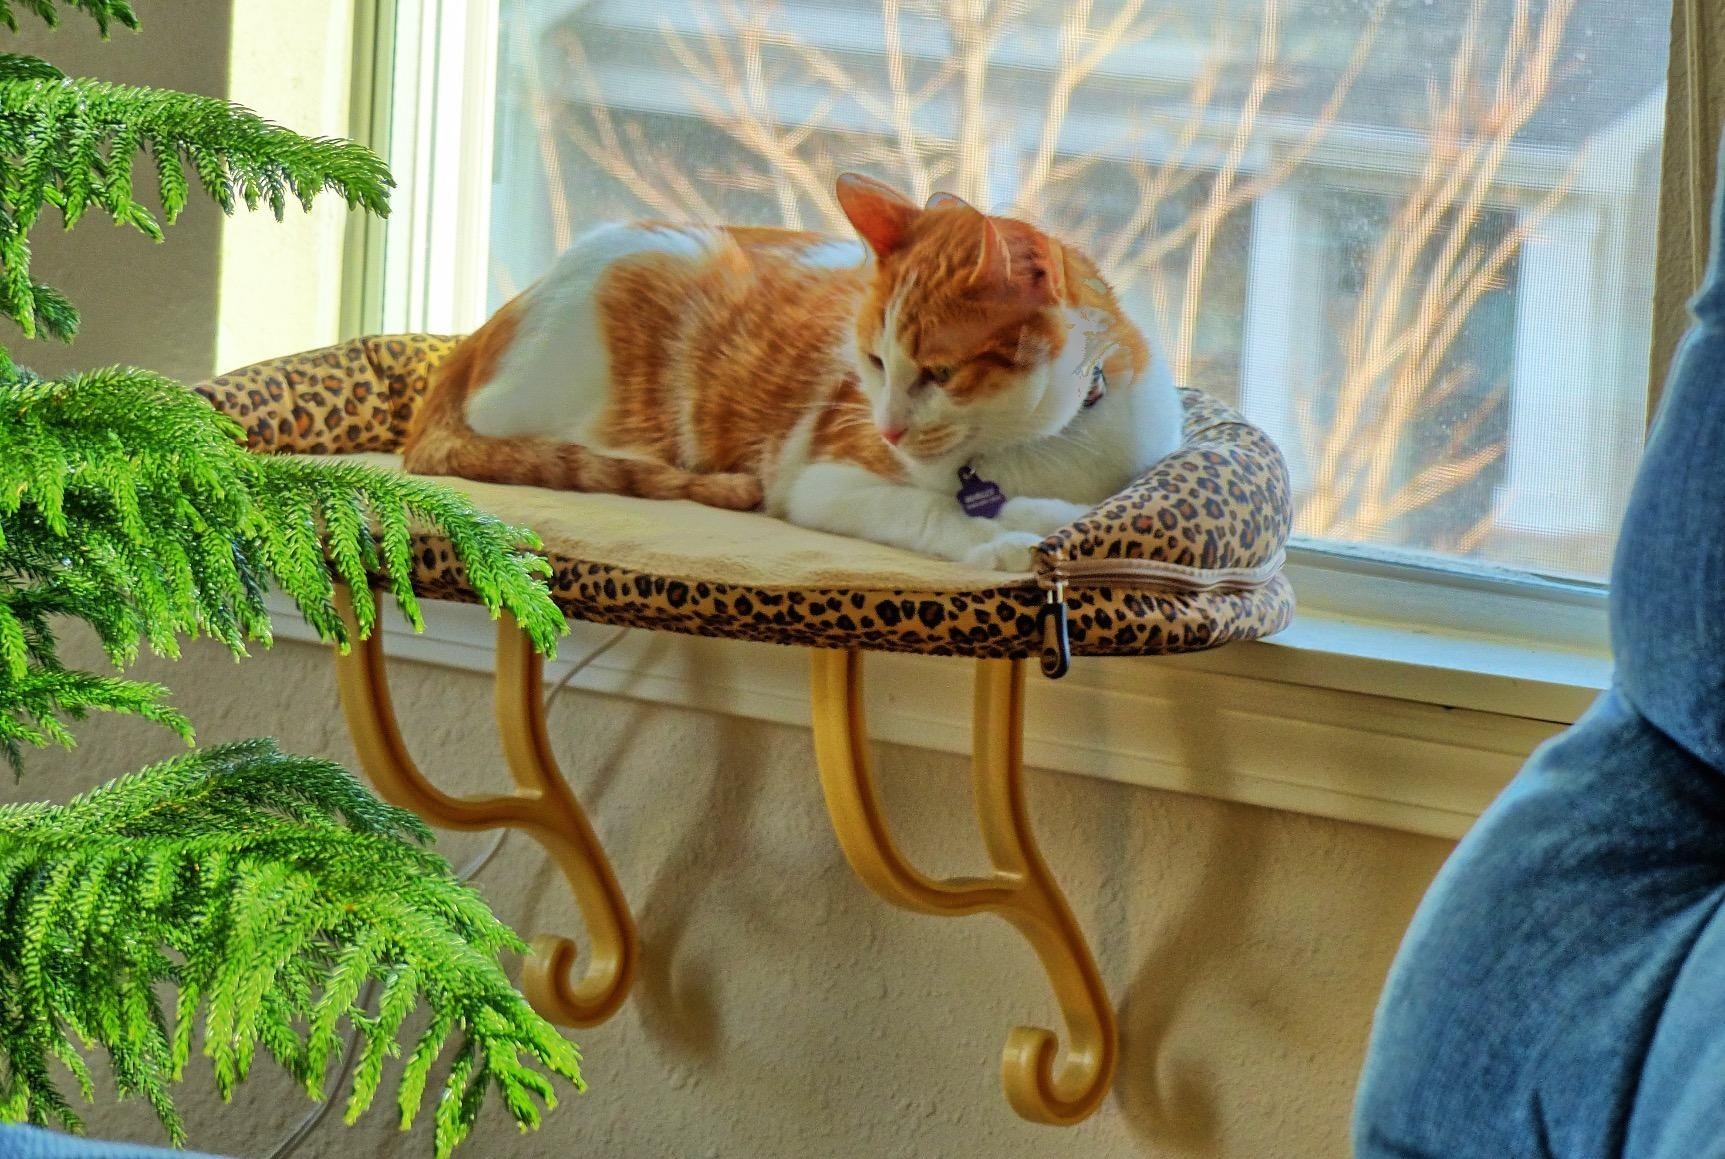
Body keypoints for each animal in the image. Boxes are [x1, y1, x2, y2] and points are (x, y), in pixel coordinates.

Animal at [403, 172, 1186, 569]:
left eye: (940, 372)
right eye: (874, 360)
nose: (889, 429)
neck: (1044, 444)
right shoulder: (824, 479)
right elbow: (931, 510)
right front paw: (1017, 536)